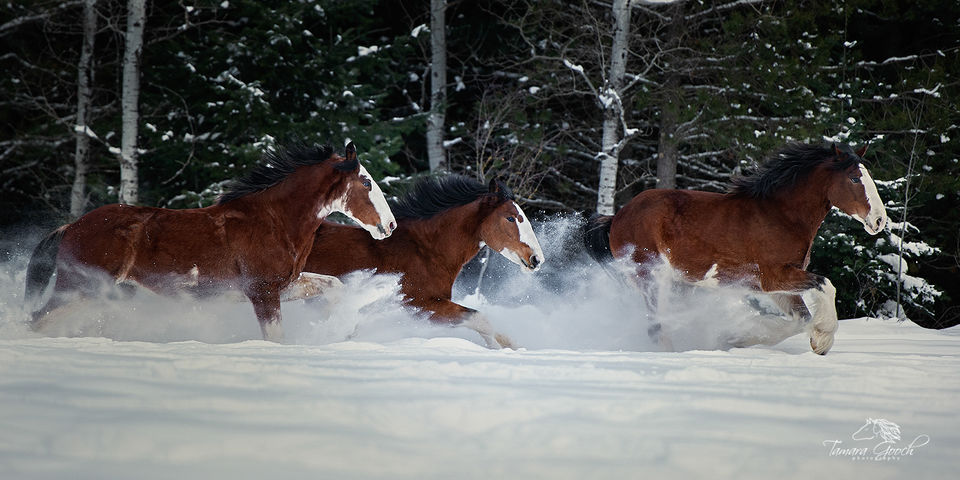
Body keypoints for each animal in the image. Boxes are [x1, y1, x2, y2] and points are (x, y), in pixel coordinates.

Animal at [26, 142, 396, 342]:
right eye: (366, 182)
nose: (389, 225)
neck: (273, 220)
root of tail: (72, 226)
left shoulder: (282, 284)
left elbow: (334, 286)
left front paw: (342, 329)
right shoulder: (262, 292)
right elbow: (276, 337)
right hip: (77, 286)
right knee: (37, 318)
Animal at [580, 141, 888, 354]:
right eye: (854, 178)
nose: (879, 220)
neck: (781, 215)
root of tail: (618, 216)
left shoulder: (775, 286)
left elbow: (799, 319)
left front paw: (735, 339)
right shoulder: (775, 276)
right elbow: (826, 285)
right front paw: (823, 338)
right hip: (652, 279)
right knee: (656, 327)